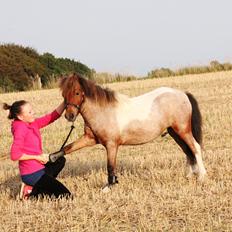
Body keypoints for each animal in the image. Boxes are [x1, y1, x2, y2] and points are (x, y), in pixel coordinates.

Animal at [56, 73, 207, 189]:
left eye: (76, 92)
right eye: (63, 94)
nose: (69, 116)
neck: (103, 111)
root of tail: (182, 94)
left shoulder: (111, 145)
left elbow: (110, 166)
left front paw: (109, 187)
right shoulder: (90, 139)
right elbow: (68, 147)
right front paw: (52, 157)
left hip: (183, 130)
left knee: (195, 148)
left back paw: (202, 176)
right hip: (174, 132)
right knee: (187, 151)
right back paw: (189, 175)